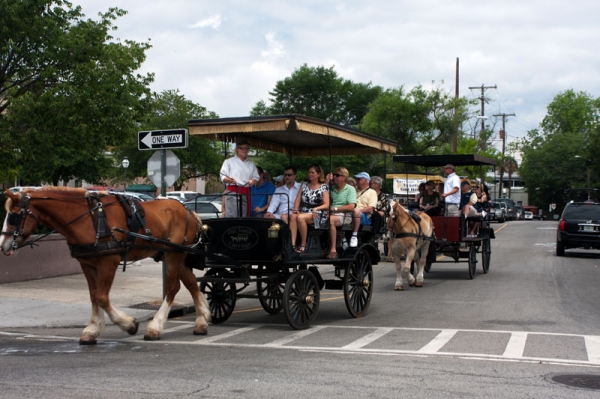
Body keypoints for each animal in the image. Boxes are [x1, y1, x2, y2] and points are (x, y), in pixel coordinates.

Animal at [0, 189, 211, 346]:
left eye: (13, 216)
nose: (3, 245)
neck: (89, 219)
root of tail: (188, 210)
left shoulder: (109, 262)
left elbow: (102, 297)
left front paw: (128, 324)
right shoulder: (87, 263)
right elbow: (94, 296)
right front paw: (92, 330)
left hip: (174, 254)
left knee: (172, 288)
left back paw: (155, 327)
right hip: (170, 254)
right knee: (191, 283)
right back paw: (202, 320)